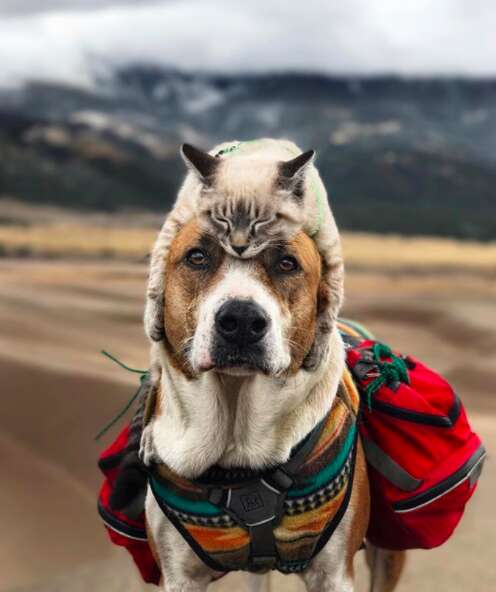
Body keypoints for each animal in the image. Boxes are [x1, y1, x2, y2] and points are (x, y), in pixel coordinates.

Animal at [145, 138, 342, 370]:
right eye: (197, 257)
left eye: (287, 264)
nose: (242, 319)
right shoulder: (176, 219)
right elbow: (157, 270)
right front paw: (152, 319)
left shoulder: (328, 244)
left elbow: (332, 299)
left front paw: (319, 350)